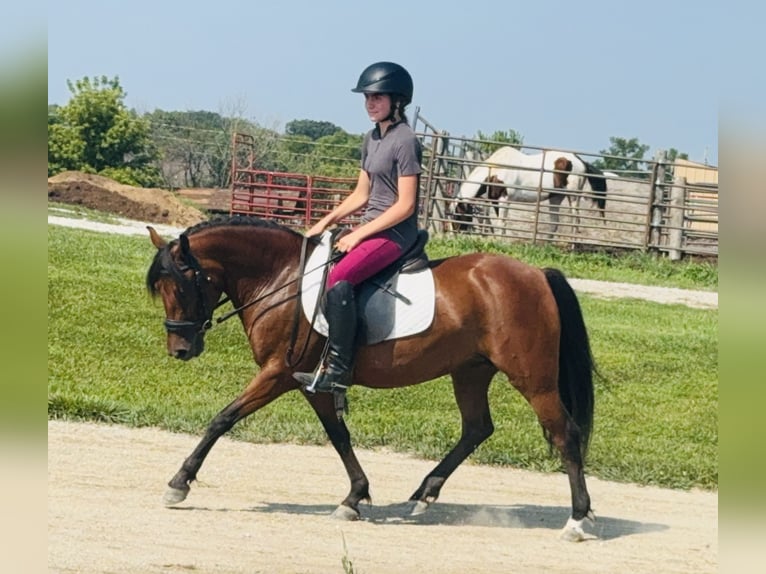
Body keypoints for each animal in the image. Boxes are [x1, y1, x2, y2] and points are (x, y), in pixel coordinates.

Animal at [146, 217, 600, 544]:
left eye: (182, 287)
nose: (179, 349)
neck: (280, 279)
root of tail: (537, 274)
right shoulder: (313, 383)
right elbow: (339, 436)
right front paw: (355, 497)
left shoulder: (278, 373)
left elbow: (223, 419)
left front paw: (179, 483)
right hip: (470, 371)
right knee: (477, 428)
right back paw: (425, 493)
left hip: (533, 379)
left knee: (565, 434)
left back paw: (577, 520)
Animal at [452, 148, 608, 236]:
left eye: (457, 215)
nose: (454, 234)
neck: (494, 171)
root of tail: (580, 161)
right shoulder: (494, 201)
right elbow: (490, 222)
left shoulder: (504, 199)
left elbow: (501, 222)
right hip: (556, 198)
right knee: (554, 223)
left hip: (573, 197)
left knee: (576, 222)